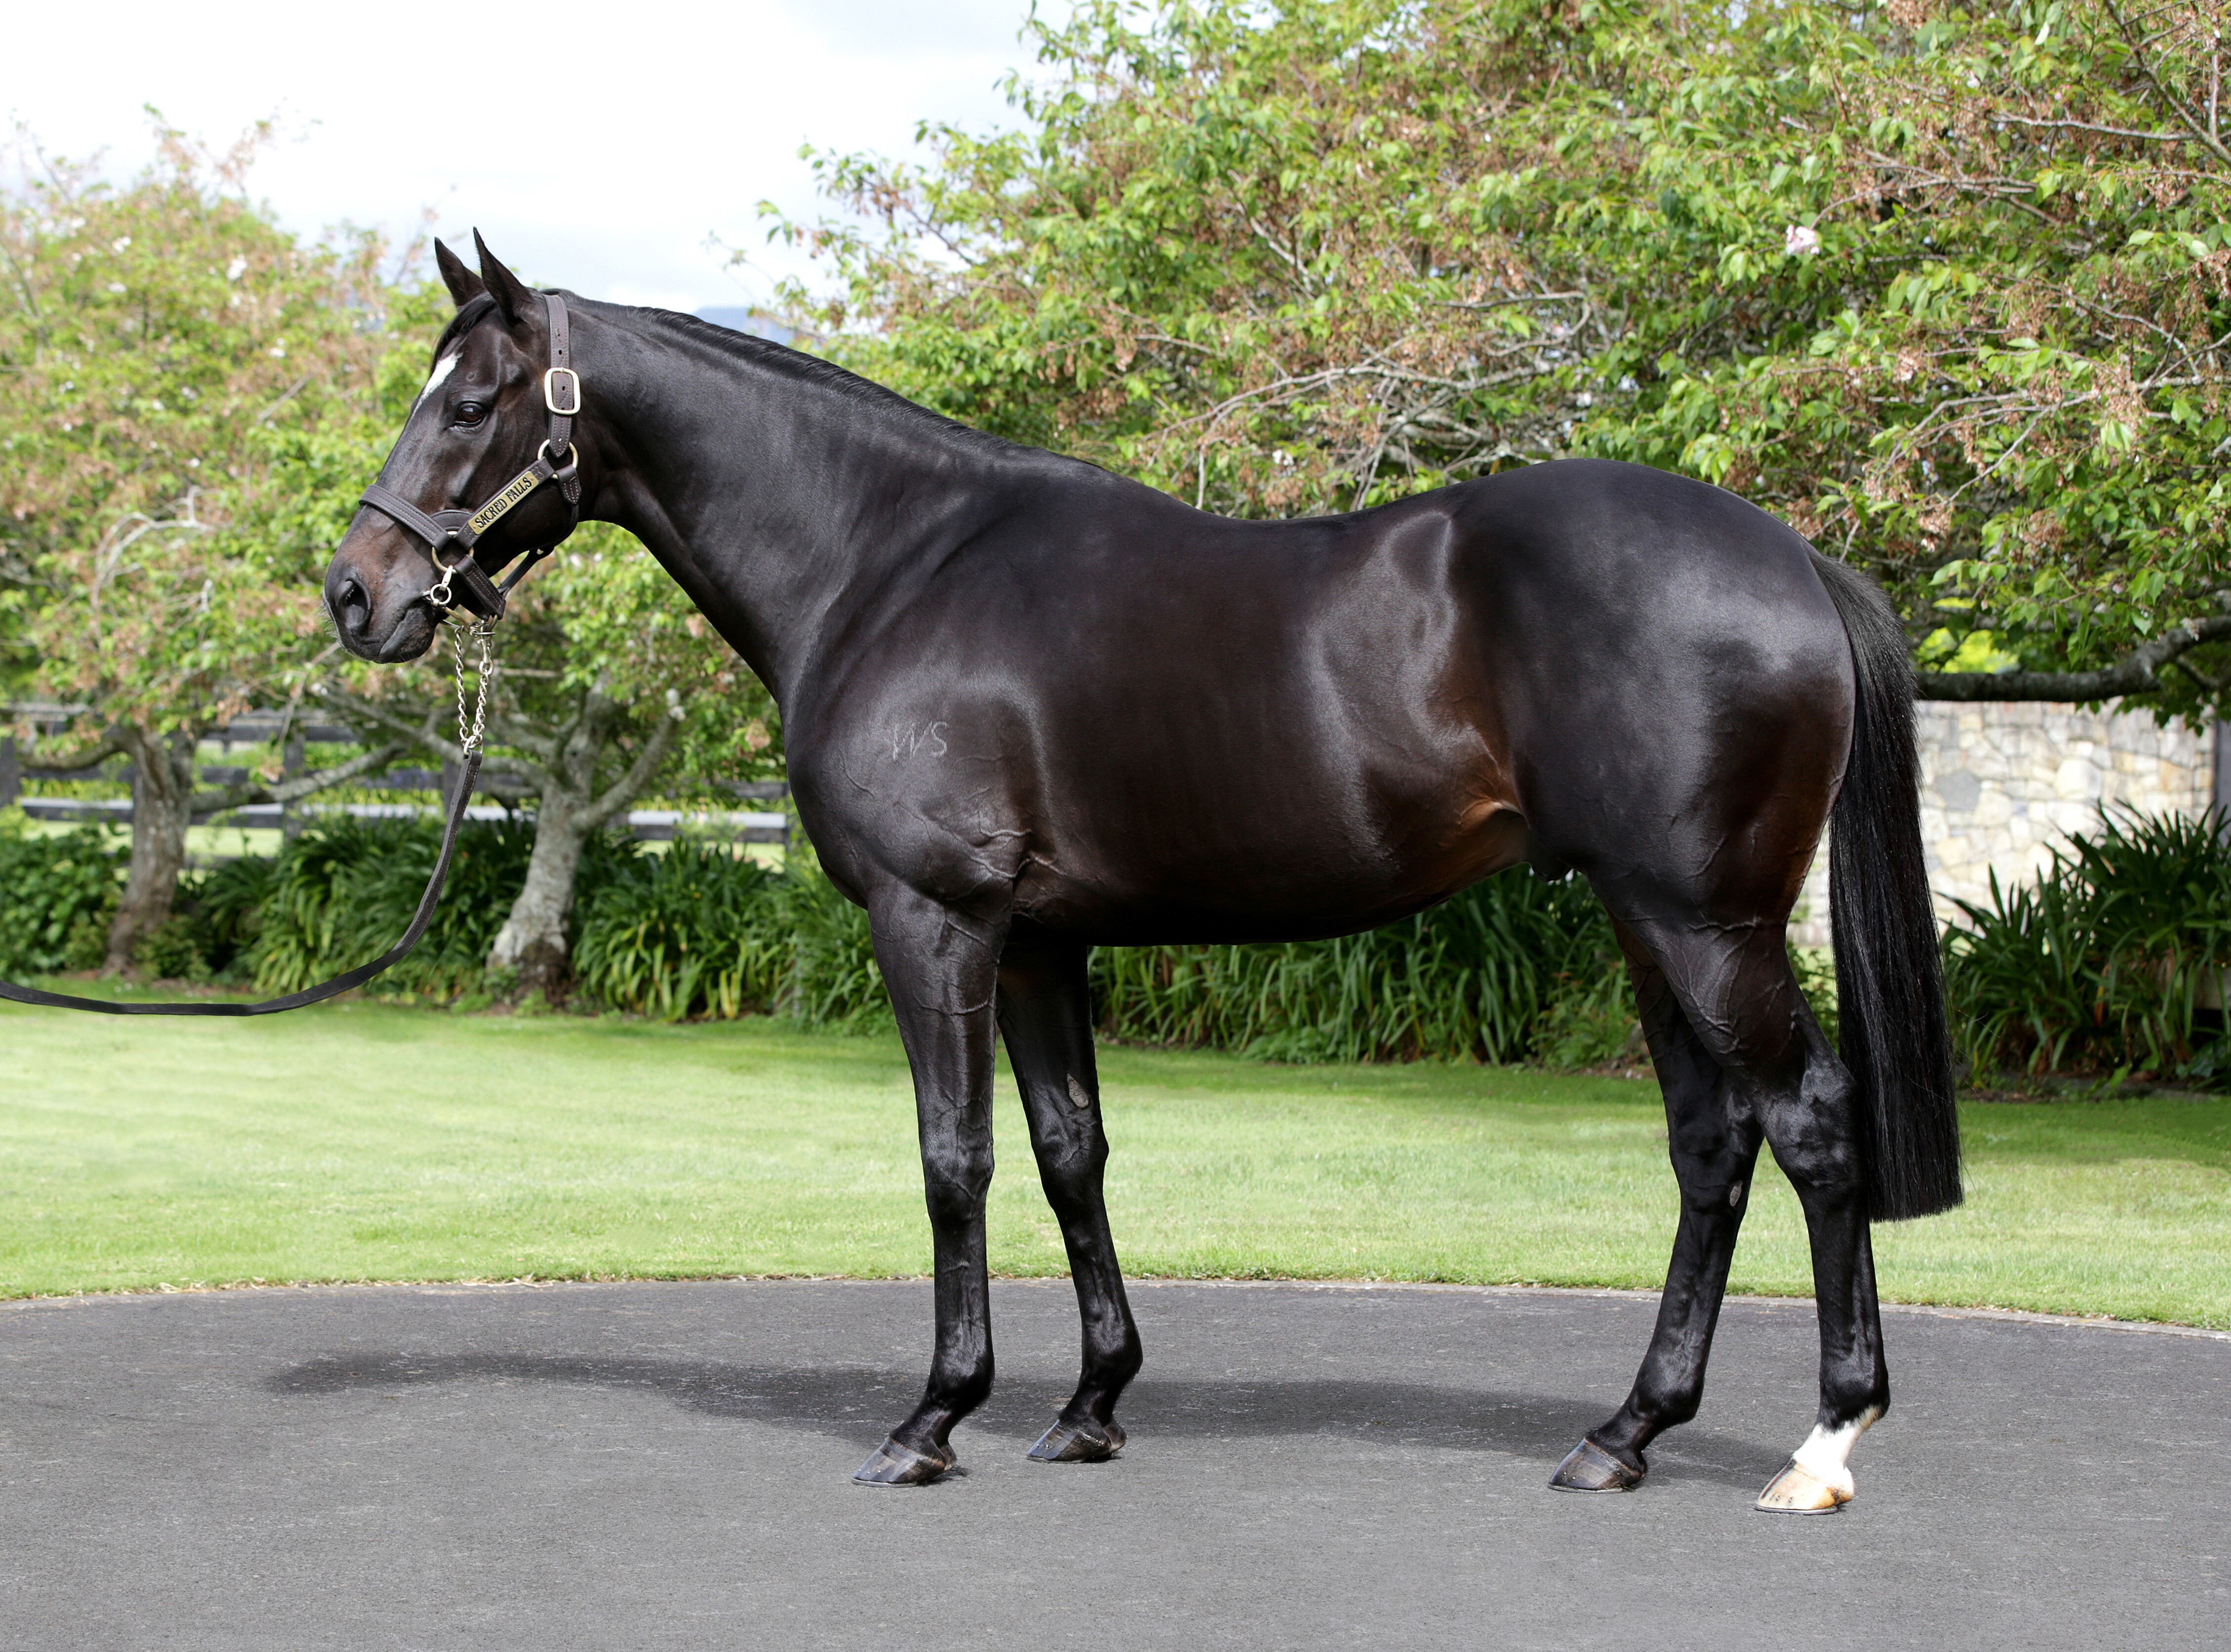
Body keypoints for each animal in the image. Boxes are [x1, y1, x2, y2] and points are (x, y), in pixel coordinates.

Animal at [326, 238, 1954, 1516]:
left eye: (468, 402)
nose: (358, 592)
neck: (886, 565)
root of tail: (1796, 563)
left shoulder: (937, 921)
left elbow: (955, 1156)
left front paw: (933, 1417)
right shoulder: (1041, 939)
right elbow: (1070, 1153)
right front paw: (1090, 1403)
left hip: (1704, 921)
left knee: (1809, 1124)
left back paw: (1821, 1442)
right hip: (1645, 916)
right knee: (1710, 1147)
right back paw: (1622, 1432)